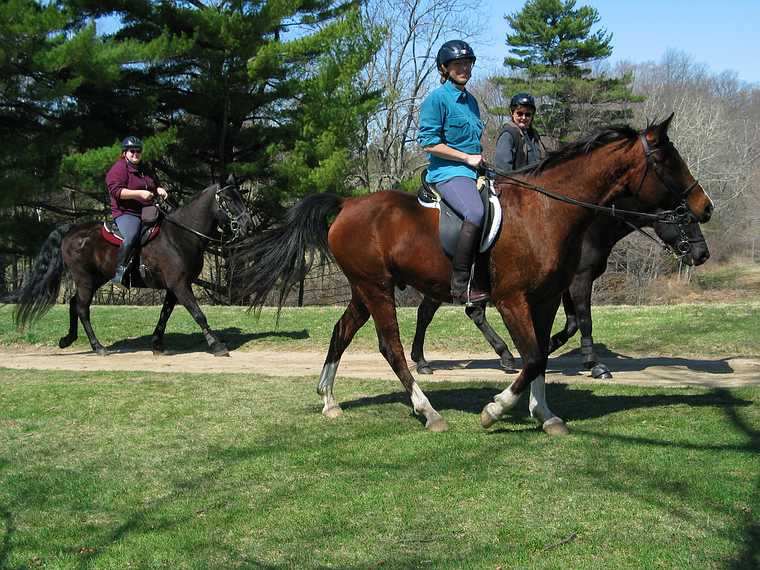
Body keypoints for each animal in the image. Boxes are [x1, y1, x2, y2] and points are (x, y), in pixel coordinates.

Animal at [9, 180, 252, 356]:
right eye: (228, 200)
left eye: (240, 197)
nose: (248, 225)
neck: (180, 236)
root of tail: (72, 230)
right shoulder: (180, 285)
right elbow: (198, 314)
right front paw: (216, 345)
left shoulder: (174, 288)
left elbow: (165, 314)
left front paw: (157, 344)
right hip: (85, 279)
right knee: (82, 308)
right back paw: (98, 347)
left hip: (96, 279)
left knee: (73, 303)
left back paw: (68, 339)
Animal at [412, 197, 708, 380]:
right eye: (686, 219)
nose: (702, 254)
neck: (589, 227)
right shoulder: (580, 280)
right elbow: (584, 320)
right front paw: (594, 364)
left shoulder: (563, 287)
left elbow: (572, 323)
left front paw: (551, 345)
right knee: (430, 313)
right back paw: (424, 361)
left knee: (466, 313)